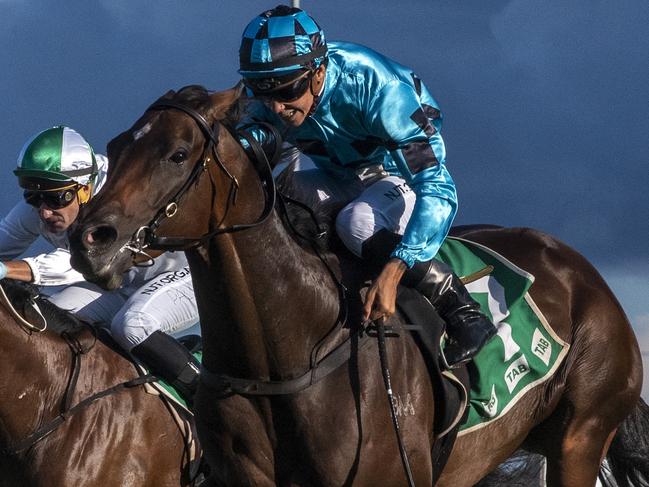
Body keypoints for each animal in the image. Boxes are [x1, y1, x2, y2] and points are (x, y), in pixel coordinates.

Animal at [68, 86, 644, 486]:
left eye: (178, 153)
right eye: (116, 146)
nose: (89, 238)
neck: (284, 359)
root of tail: (579, 267)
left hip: (580, 434)